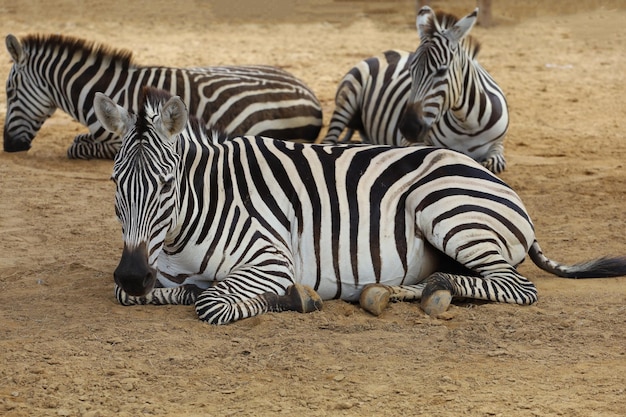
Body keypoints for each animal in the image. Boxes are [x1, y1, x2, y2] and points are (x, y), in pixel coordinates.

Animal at [92, 85, 624, 324]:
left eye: (166, 185)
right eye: (116, 183)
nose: (133, 273)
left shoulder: (270, 257)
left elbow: (212, 302)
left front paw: (293, 296)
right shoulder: (151, 267)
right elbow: (147, 294)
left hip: (445, 207)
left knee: (515, 286)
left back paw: (435, 291)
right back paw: (392, 291)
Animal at [320, 8, 510, 174]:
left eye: (441, 71)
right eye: (410, 71)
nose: (408, 128)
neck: (468, 125)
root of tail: (386, 52)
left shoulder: (498, 146)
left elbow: (492, 164)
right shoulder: (410, 142)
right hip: (348, 96)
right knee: (328, 139)